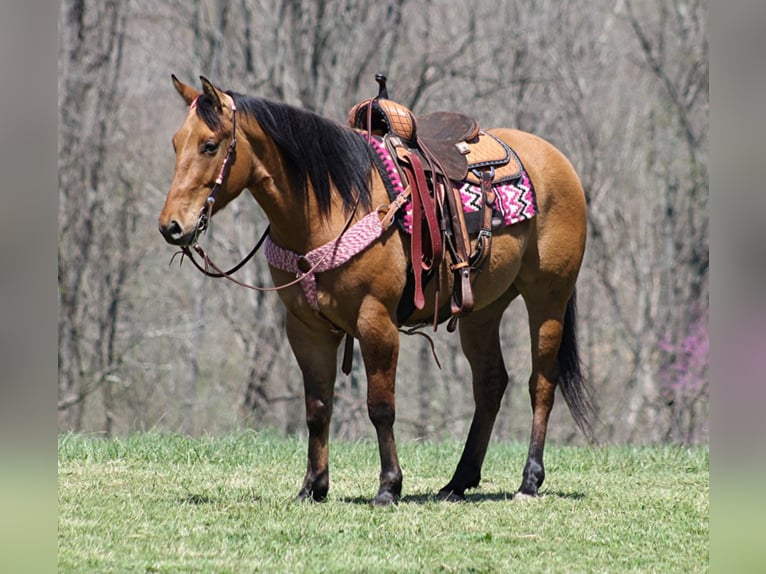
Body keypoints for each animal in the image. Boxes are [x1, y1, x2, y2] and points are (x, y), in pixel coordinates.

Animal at [159, 74, 596, 506]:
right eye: (176, 143)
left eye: (210, 145)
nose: (171, 226)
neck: (327, 208)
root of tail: (557, 159)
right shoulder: (305, 328)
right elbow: (317, 408)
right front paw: (313, 486)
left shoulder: (376, 321)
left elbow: (380, 406)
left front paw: (389, 486)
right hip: (482, 310)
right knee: (490, 383)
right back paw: (458, 481)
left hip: (548, 299)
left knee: (542, 383)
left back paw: (529, 480)